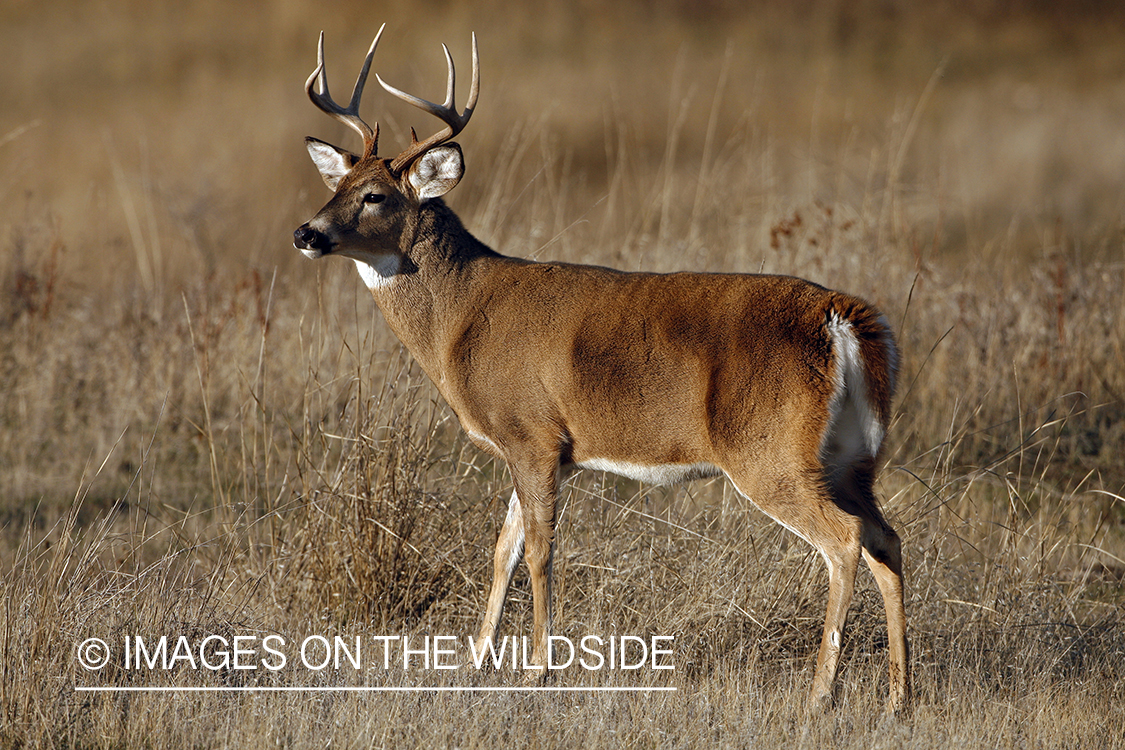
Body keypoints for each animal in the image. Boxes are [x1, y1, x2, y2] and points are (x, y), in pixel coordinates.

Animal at [294, 24, 909, 715]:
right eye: (335, 187)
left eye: (374, 196)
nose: (306, 233)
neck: (461, 319)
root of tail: (841, 319)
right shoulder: (537, 450)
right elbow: (503, 550)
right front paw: (475, 662)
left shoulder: (532, 434)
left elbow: (539, 553)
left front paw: (537, 671)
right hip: (850, 455)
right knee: (887, 538)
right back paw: (899, 696)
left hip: (770, 450)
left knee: (845, 540)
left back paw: (820, 693)